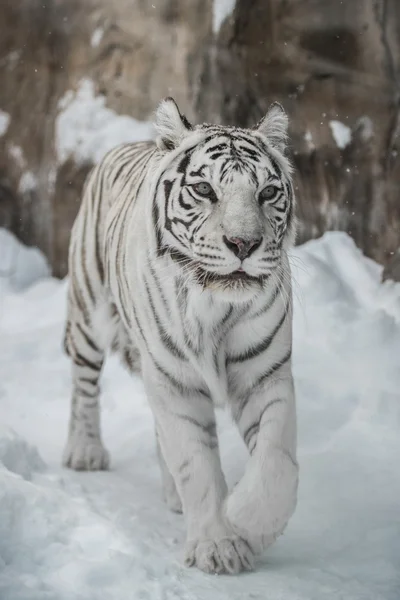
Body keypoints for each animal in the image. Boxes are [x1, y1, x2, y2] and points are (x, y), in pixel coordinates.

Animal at [62, 96, 298, 576]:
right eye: (205, 190)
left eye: (267, 193)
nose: (243, 244)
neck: (216, 308)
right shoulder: (175, 380)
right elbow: (197, 462)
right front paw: (218, 544)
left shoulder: (266, 375)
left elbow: (276, 461)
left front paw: (247, 519)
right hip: (88, 312)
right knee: (84, 386)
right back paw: (84, 451)